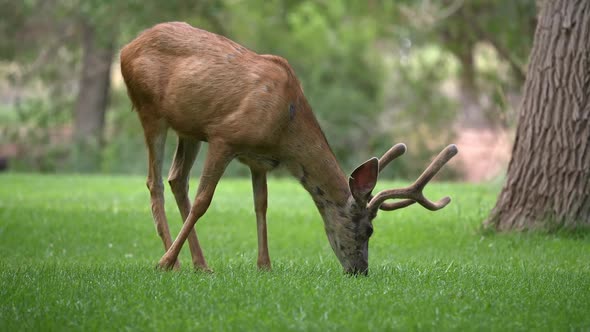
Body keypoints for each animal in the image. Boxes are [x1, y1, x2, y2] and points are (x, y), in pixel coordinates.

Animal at [118, 22, 456, 274]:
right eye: (369, 230)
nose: (360, 270)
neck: (284, 129)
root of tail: (126, 49)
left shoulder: (258, 159)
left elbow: (261, 204)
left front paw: (265, 265)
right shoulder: (225, 136)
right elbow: (204, 200)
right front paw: (163, 263)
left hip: (188, 130)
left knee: (177, 179)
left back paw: (200, 264)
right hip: (150, 110)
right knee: (155, 182)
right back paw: (171, 261)